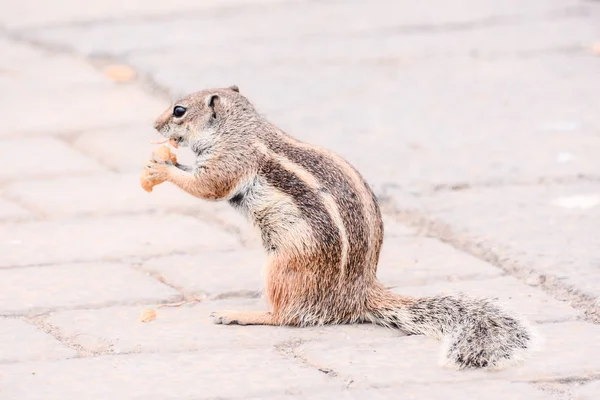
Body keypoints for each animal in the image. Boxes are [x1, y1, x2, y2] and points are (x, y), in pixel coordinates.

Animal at [144, 86, 536, 370]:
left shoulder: (231, 160)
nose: (153, 126)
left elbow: (207, 187)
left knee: (287, 317)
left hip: (283, 267)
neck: (241, 128)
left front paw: (162, 168)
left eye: (179, 110)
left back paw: (240, 314)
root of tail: (358, 294)